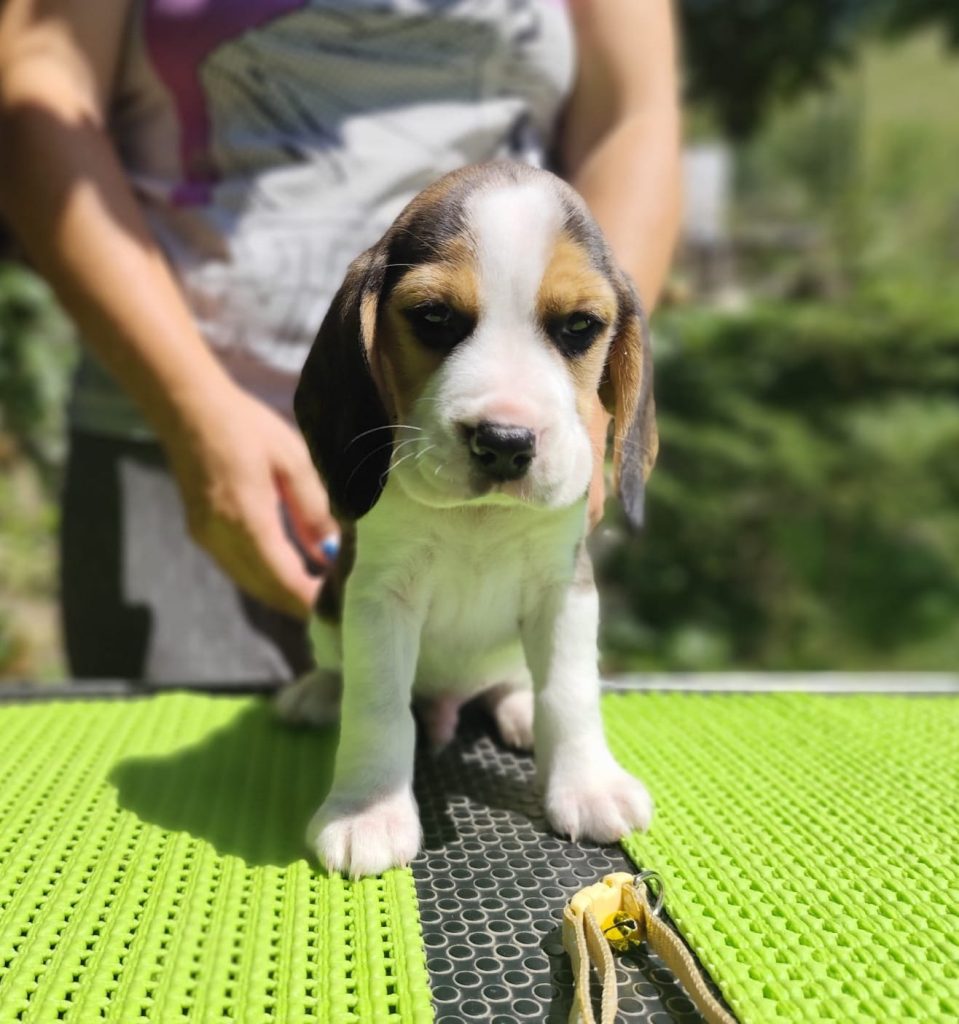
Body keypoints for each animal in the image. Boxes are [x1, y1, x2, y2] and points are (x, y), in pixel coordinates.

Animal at [278, 161, 658, 878]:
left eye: (579, 327)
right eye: (434, 317)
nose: (505, 441)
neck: (478, 520)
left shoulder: (565, 590)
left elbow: (570, 692)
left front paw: (587, 785)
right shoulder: (378, 597)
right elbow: (377, 705)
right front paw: (368, 811)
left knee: (515, 682)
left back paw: (516, 711)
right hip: (327, 608)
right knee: (340, 669)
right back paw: (316, 692)